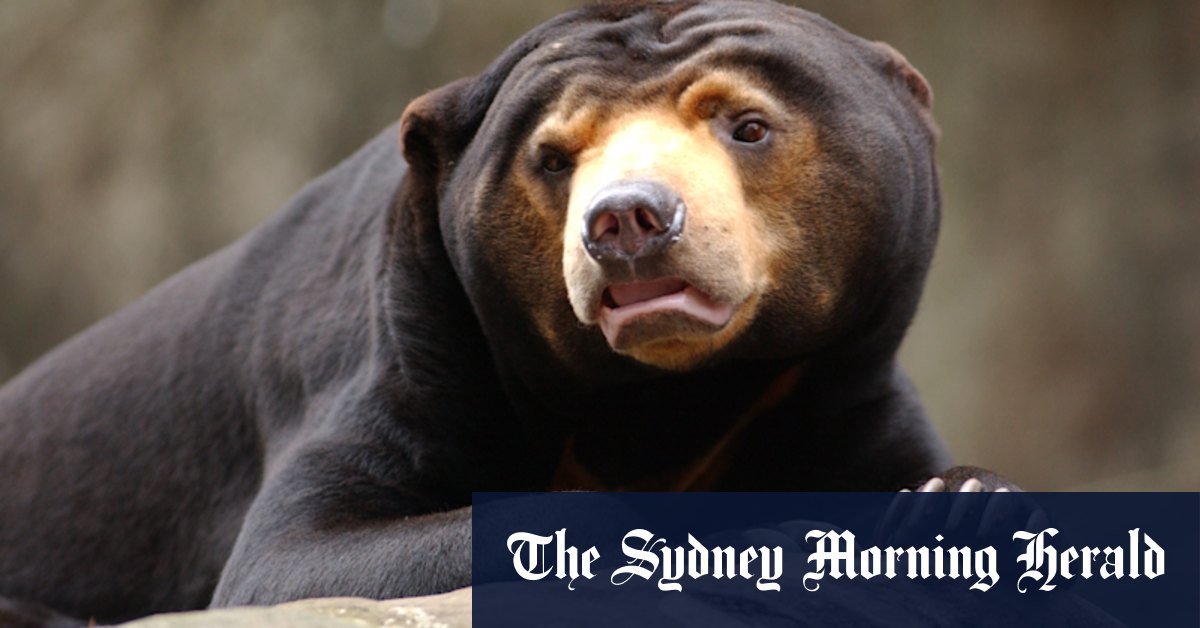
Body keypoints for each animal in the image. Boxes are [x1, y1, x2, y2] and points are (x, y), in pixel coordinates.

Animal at [0, 0, 1012, 623]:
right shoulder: (402, 347)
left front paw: (955, 500)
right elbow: (290, 558)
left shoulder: (840, 376)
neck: (666, 399)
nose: (627, 220)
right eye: (554, 159)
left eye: (748, 126)